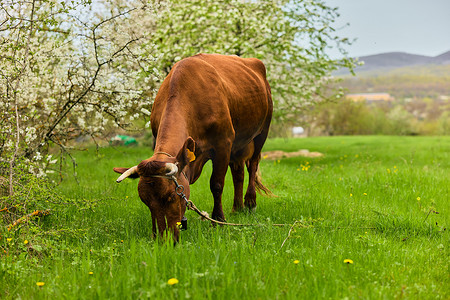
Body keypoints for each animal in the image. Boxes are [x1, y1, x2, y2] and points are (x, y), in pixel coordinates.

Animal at [114, 54, 272, 241]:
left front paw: (218, 220)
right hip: (239, 143)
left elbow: (216, 184)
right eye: (145, 200)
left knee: (252, 165)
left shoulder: (223, 144)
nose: (163, 239)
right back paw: (237, 208)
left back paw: (250, 202)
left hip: (262, 132)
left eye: (171, 196)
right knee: (238, 172)